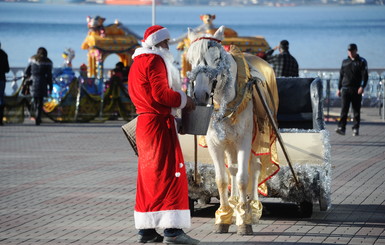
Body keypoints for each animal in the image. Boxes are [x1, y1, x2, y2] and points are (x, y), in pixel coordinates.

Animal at [186, 25, 280, 234]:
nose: (200, 94)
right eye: (191, 60)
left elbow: (244, 178)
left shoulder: (244, 140)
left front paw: (244, 219)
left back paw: (252, 208)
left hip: (257, 136)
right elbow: (222, 179)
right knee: (233, 169)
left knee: (254, 168)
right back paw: (235, 202)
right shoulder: (215, 143)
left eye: (217, 58)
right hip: (229, 142)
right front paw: (223, 217)